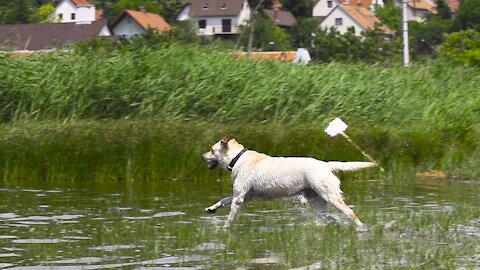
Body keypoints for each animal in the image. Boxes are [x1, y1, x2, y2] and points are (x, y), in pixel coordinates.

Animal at [201, 137, 376, 228]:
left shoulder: (239, 198)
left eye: (211, 150)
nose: (201, 157)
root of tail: (326, 165)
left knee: (351, 214)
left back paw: (362, 229)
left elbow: (230, 216)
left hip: (331, 196)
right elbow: (223, 200)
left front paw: (225, 229)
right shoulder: (245, 196)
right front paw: (212, 208)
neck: (238, 158)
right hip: (320, 201)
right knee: (328, 218)